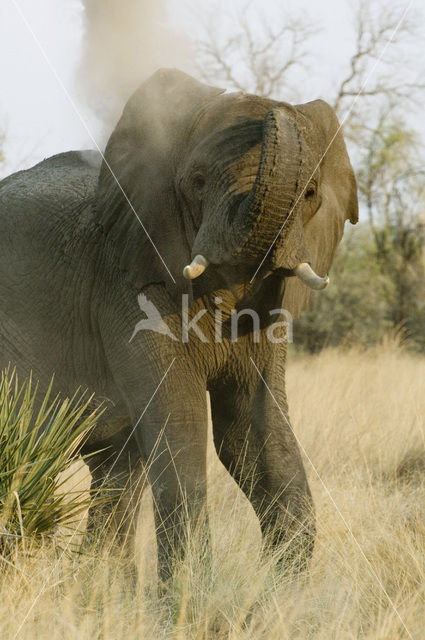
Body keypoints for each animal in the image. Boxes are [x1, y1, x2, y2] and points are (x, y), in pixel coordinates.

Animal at [0, 69, 356, 580]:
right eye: (198, 182)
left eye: (310, 195)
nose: (274, 106)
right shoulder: (127, 287)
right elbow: (182, 418)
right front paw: (193, 594)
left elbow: (250, 428)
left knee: (116, 467)